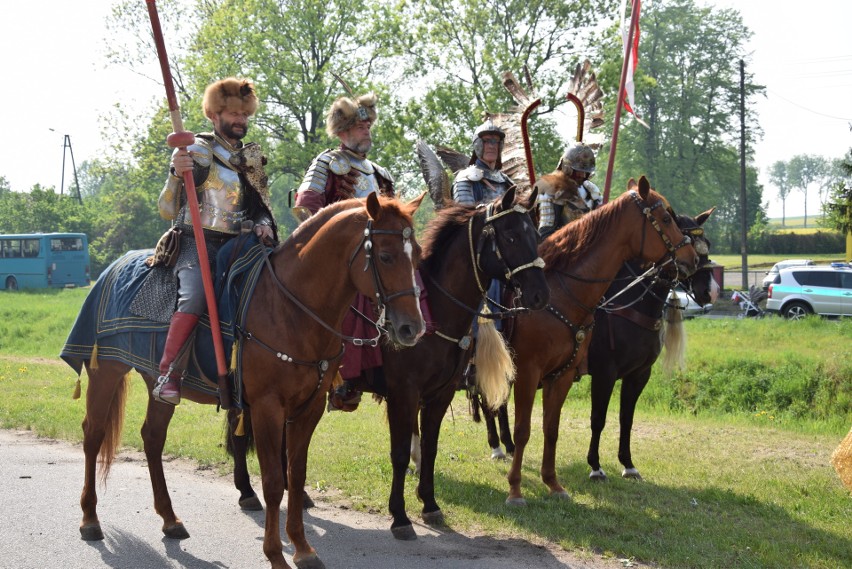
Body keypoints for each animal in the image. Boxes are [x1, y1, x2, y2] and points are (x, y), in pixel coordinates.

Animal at [62, 192, 426, 568]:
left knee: (152, 437)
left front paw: (303, 547)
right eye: (385, 256)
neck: (291, 308)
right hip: (105, 370)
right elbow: (273, 481)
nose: (411, 328)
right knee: (93, 434)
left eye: (418, 256)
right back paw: (90, 519)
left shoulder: (308, 407)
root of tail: (112, 268)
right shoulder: (267, 407)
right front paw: (275, 554)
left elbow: (296, 475)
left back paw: (169, 518)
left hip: (157, 384)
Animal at [502, 175, 696, 504]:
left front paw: (556, 482)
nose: (691, 260)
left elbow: (557, 427)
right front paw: (518, 488)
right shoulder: (538, 372)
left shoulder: (577, 374)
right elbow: (534, 427)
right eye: (666, 218)